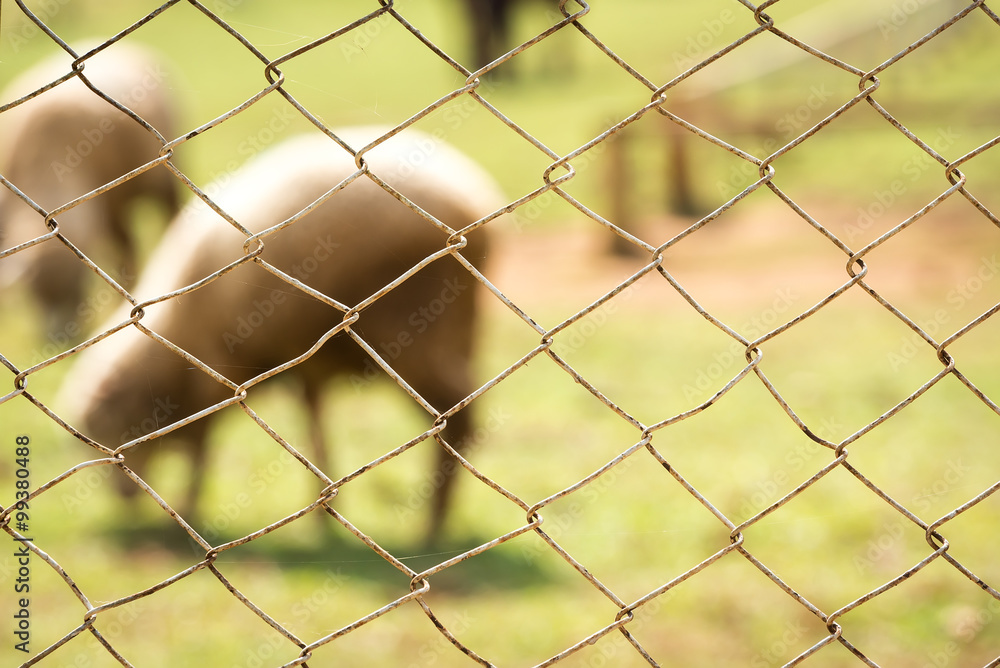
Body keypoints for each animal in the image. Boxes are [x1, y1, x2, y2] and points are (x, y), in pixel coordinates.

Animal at [58, 127, 503, 542]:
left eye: (117, 431)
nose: (125, 499)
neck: (174, 331)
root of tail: (473, 198)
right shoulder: (304, 363)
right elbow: (314, 425)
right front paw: (322, 516)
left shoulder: (216, 374)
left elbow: (202, 445)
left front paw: (188, 509)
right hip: (457, 334)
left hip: (418, 332)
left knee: (455, 419)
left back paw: (433, 526)